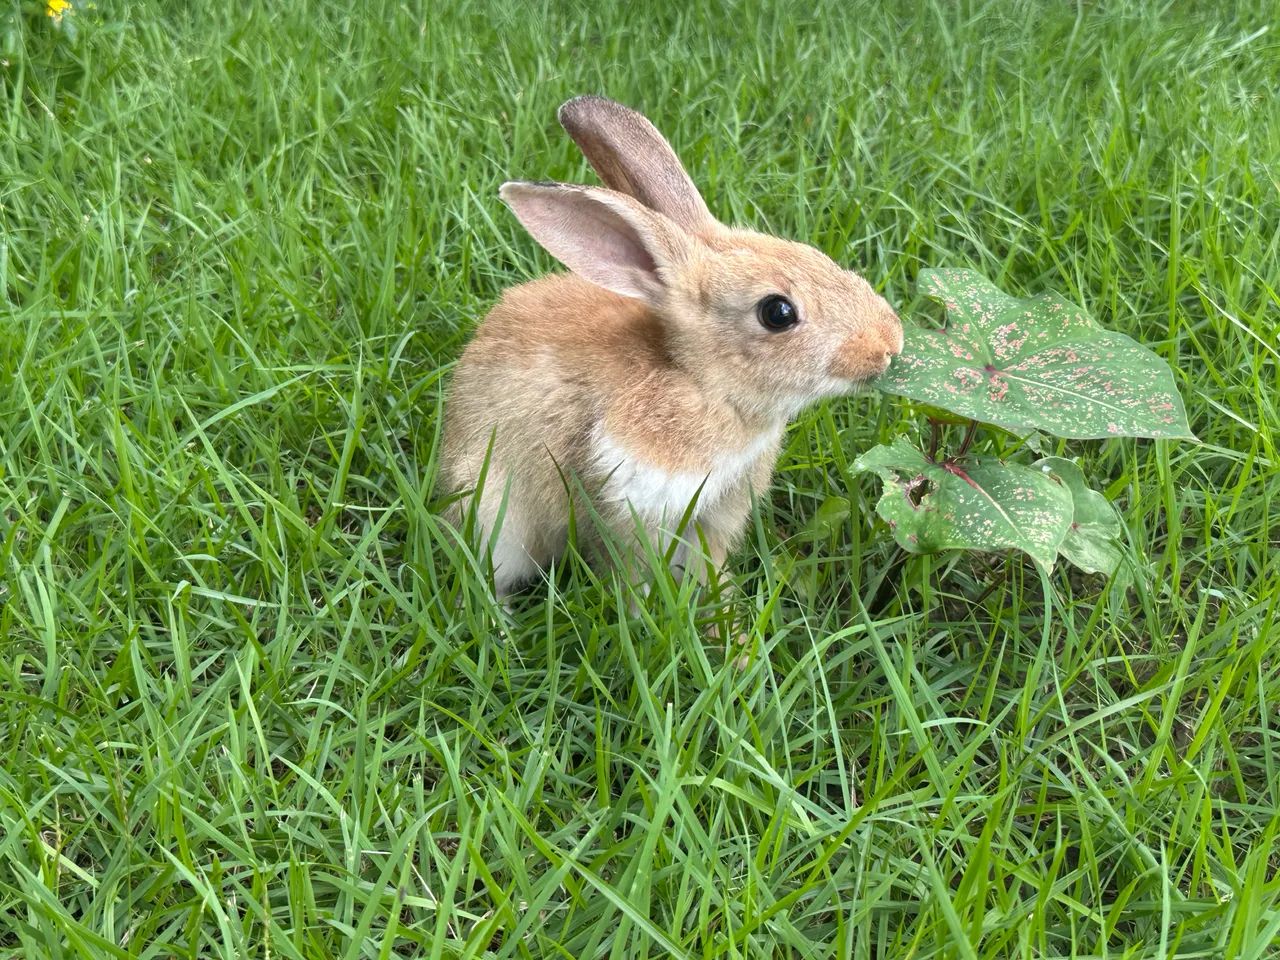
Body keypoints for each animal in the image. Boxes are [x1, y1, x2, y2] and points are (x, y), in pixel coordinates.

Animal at [441, 95, 903, 598]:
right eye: (778, 312)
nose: (889, 343)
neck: (699, 383)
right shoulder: (630, 506)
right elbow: (634, 573)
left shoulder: (717, 512)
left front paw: (727, 613)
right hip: (496, 520)